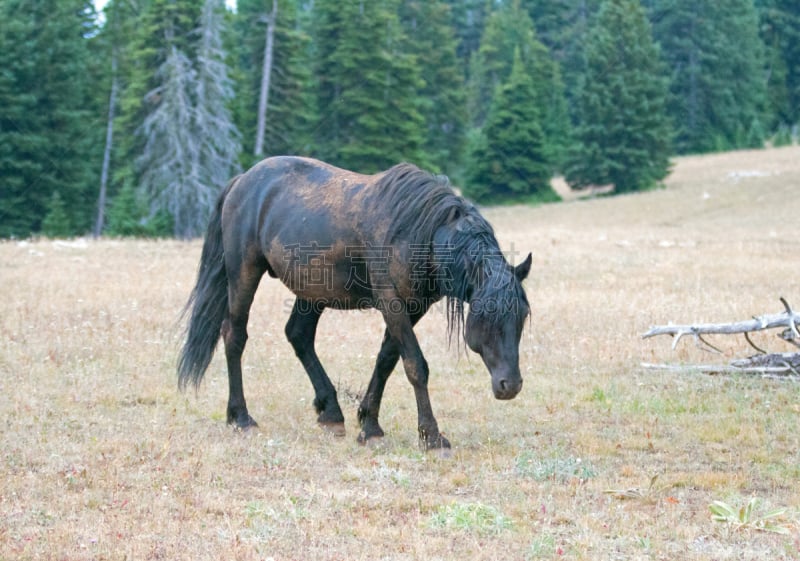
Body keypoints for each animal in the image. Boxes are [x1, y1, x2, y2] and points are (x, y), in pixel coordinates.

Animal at [180, 154, 532, 450]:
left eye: (523, 317)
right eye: (484, 317)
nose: (510, 385)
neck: (420, 230)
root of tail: (242, 180)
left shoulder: (413, 307)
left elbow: (387, 360)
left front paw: (370, 424)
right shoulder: (392, 302)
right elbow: (415, 365)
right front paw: (432, 436)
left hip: (312, 293)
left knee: (299, 336)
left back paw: (331, 412)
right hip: (244, 273)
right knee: (235, 336)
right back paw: (241, 417)